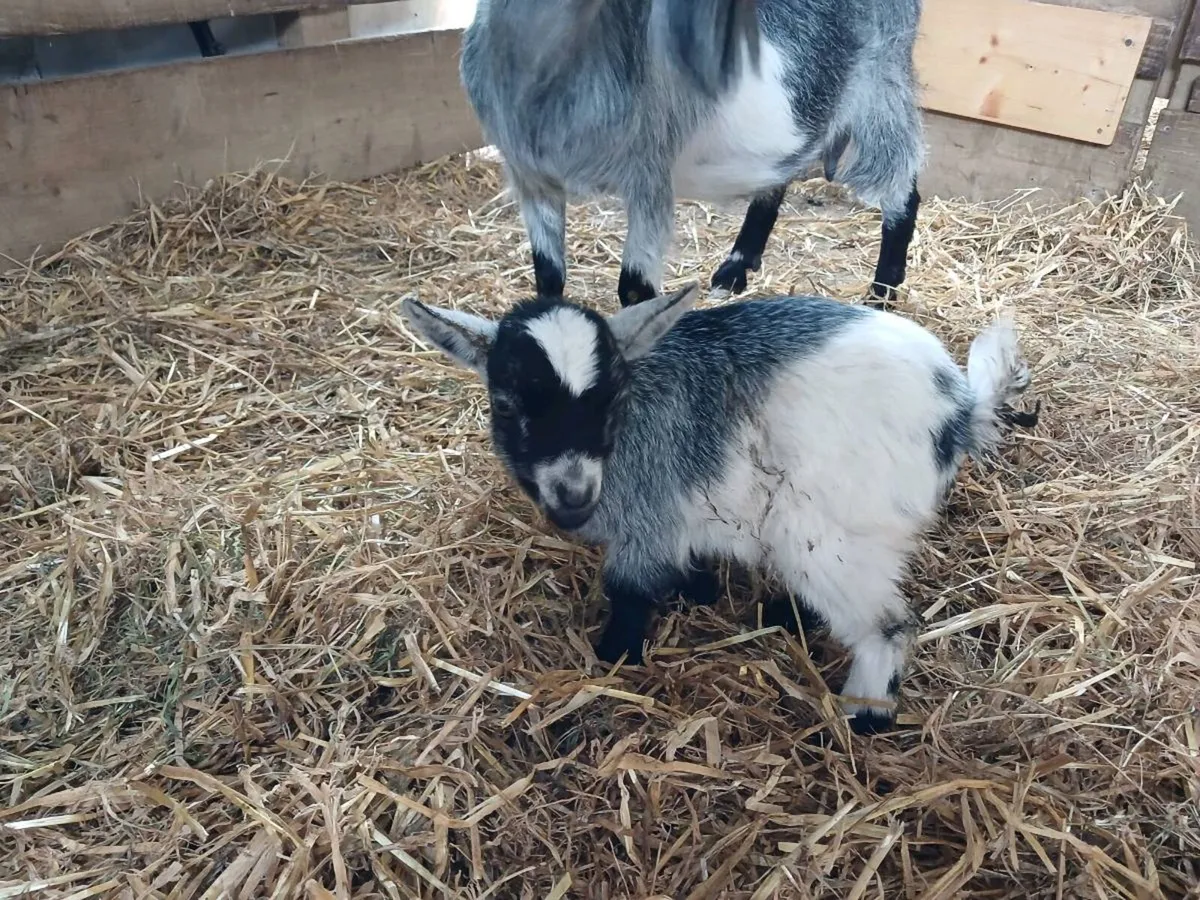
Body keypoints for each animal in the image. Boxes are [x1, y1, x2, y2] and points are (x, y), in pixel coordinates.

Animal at [400, 284, 1038, 733]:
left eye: (610, 401)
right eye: (506, 404)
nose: (573, 494)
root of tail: (959, 409)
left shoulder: (648, 519)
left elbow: (628, 592)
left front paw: (613, 659)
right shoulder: (680, 517)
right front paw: (699, 590)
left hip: (830, 534)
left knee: (888, 623)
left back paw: (864, 716)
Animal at [460, 0, 925, 308]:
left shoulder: (648, 174)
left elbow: (634, 288)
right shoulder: (530, 174)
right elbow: (548, 278)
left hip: (882, 83)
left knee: (903, 186)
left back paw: (882, 294)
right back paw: (736, 268)